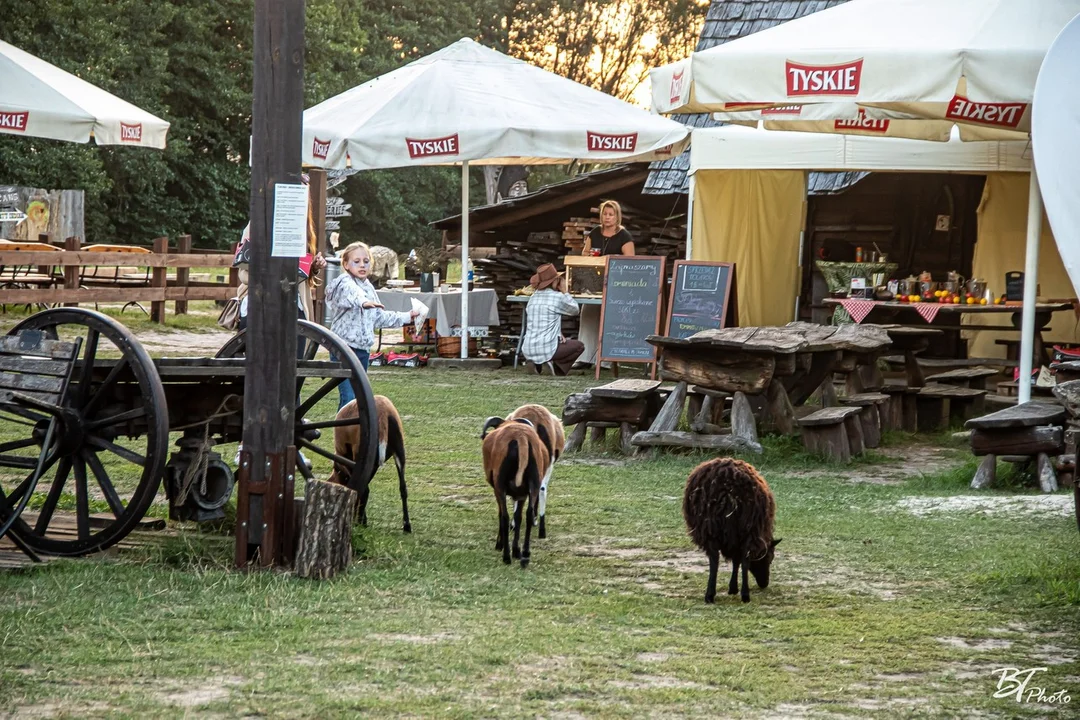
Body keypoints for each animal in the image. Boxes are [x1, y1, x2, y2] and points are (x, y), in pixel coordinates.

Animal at [326, 397, 410, 533]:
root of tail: (383, 408)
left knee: (364, 490)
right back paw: (407, 525)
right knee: (403, 488)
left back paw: (359, 523)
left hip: (359, 453)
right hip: (399, 451)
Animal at [481, 416, 548, 569]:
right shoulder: (522, 495)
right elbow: (518, 518)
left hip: (500, 485)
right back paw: (525, 556)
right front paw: (516, 551)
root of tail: (521, 437)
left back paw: (506, 556)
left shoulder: (498, 490)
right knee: (528, 515)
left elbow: (503, 515)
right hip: (534, 483)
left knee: (505, 517)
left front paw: (500, 545)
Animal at [678, 459, 781, 604]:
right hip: (748, 528)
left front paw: (732, 588)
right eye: (770, 558)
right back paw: (743, 595)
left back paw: (712, 595)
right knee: (743, 559)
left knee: (715, 560)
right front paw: (733, 588)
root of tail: (728, 491)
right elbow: (738, 560)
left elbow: (736, 559)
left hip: (712, 528)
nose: (764, 584)